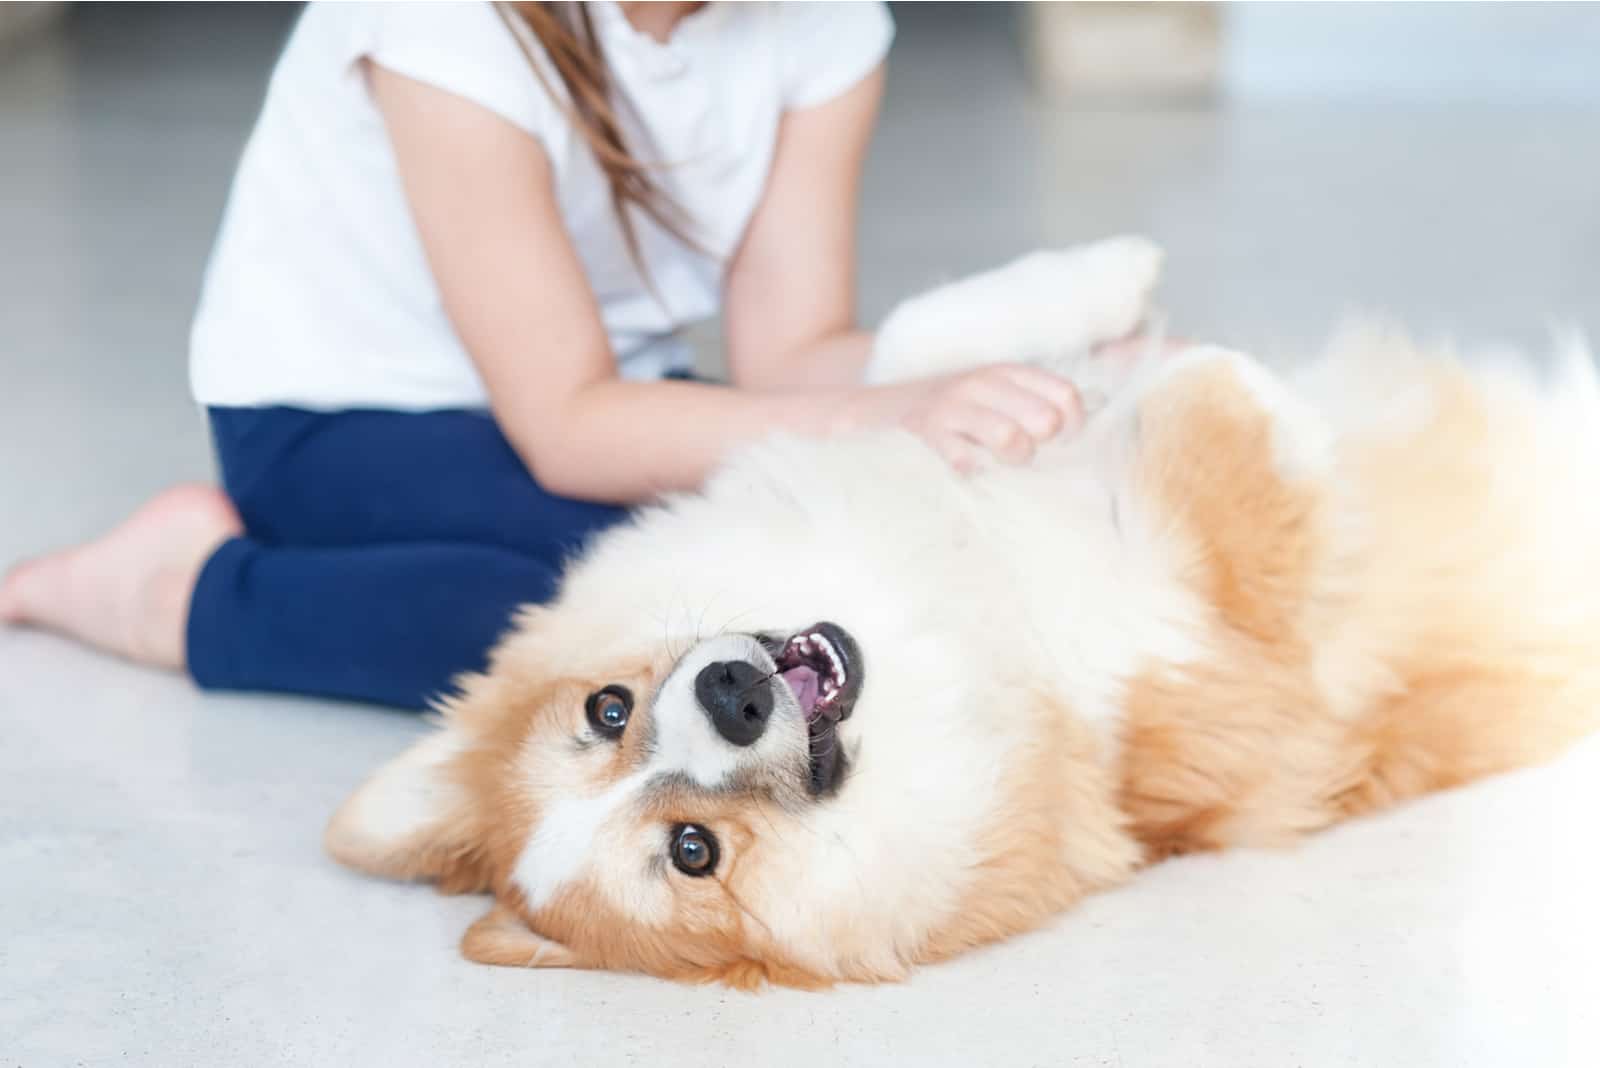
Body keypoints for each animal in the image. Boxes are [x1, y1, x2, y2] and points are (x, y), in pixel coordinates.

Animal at [321, 238, 1600, 991]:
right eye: (692, 852)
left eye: (606, 708)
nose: (733, 694)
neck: (966, 621)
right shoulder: (1232, 634)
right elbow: (1217, 427)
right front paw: (1197, 372)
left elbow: (913, 348)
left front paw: (1104, 293)